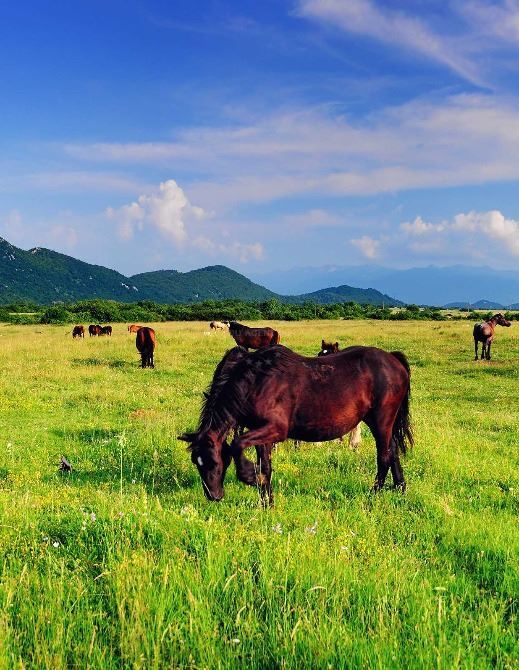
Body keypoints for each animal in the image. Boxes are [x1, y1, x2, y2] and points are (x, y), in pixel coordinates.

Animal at [180, 344, 413, 505]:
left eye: (213, 462)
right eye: (196, 463)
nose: (214, 496)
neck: (258, 381)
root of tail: (393, 359)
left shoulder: (276, 430)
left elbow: (238, 445)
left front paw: (249, 476)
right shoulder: (261, 433)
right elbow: (266, 467)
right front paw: (267, 502)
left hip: (382, 421)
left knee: (384, 457)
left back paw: (373, 495)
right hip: (377, 422)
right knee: (392, 452)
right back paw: (400, 488)